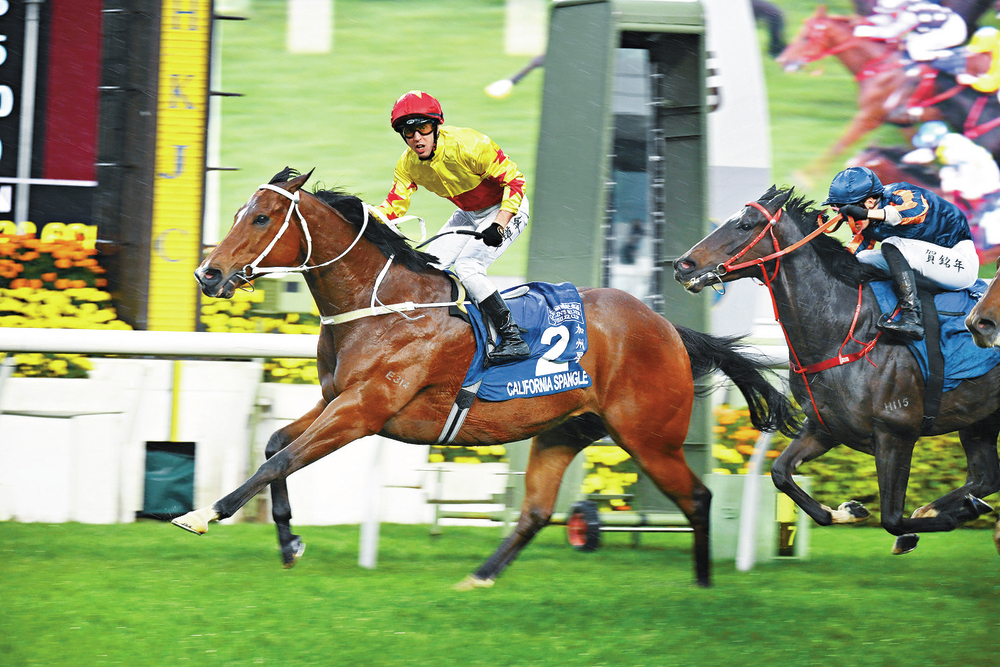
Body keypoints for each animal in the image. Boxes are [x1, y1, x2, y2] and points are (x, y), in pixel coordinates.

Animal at [171, 168, 800, 589]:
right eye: (237, 214)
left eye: (260, 218)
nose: (208, 274)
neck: (382, 305)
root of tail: (668, 328)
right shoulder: (336, 398)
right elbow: (277, 445)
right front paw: (289, 540)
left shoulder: (364, 409)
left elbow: (280, 459)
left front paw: (201, 515)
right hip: (566, 429)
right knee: (537, 512)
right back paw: (480, 576)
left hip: (649, 437)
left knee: (697, 497)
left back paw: (703, 587)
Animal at [673, 186, 1000, 554]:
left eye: (745, 224)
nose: (683, 264)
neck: (843, 331)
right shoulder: (823, 428)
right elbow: (781, 474)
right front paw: (849, 510)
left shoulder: (896, 434)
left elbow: (892, 518)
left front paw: (945, 518)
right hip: (979, 419)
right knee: (986, 477)